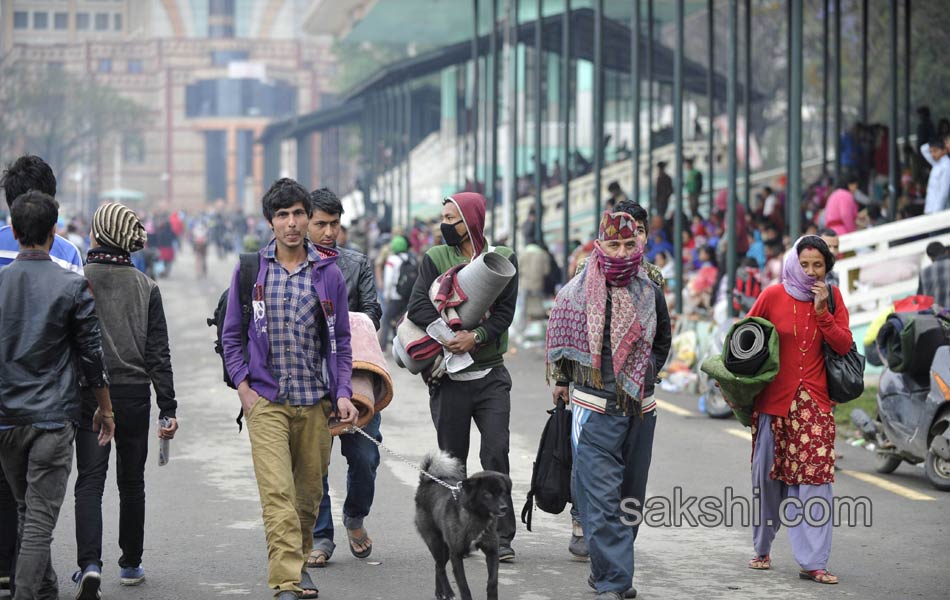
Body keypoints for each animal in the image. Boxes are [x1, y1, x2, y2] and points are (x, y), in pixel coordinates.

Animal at [416, 450, 512, 600]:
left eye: (502, 491)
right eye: (487, 494)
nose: (504, 508)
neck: (477, 516)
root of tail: (426, 481)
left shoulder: (492, 551)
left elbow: (492, 581)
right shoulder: (456, 554)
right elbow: (463, 585)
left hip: (445, 549)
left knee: (438, 566)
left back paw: (440, 592)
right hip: (437, 544)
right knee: (440, 567)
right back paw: (448, 592)